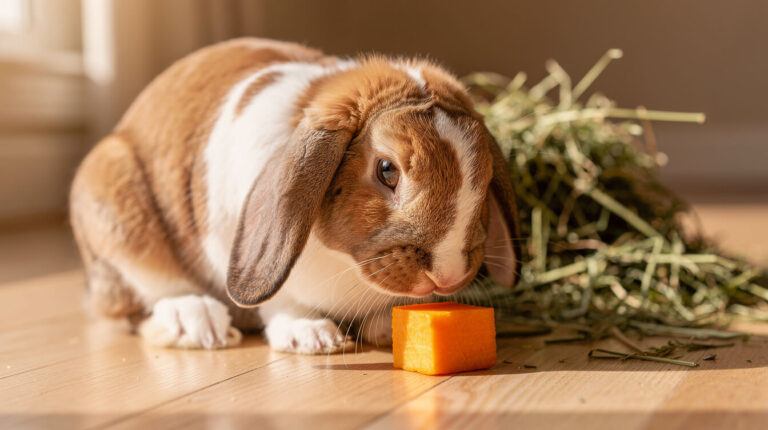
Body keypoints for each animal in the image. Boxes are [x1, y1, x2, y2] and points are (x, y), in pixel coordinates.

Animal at [69, 38, 520, 354]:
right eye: (387, 170)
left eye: (483, 178)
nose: (447, 275)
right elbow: (281, 301)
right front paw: (314, 337)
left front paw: (384, 326)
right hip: (115, 210)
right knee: (142, 299)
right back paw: (198, 322)